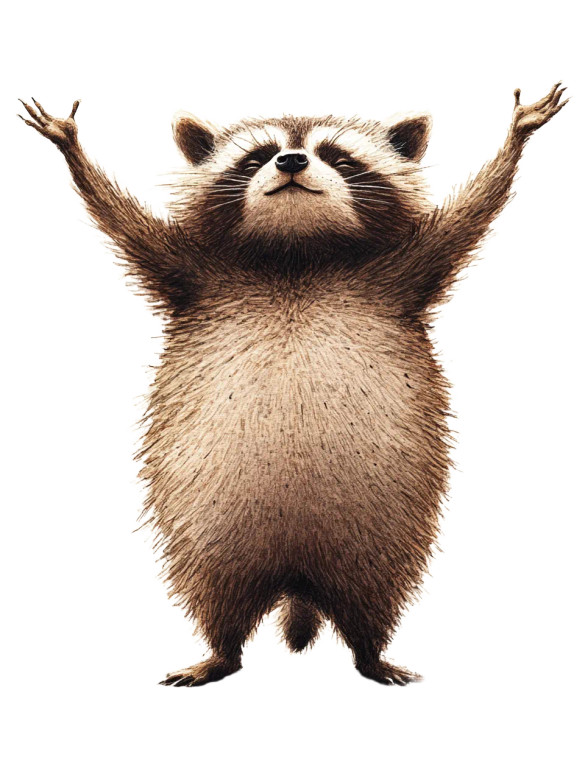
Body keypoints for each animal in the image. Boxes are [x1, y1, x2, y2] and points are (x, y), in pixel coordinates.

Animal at [20, 84, 567, 686]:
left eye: (339, 157)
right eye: (257, 156)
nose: (291, 161)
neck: (296, 254)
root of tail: (296, 575)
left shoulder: (403, 272)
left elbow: (469, 216)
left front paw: (517, 137)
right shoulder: (193, 274)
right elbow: (126, 224)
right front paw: (72, 150)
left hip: (384, 538)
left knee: (377, 597)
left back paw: (370, 651)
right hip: (209, 537)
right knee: (213, 596)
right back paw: (220, 651)